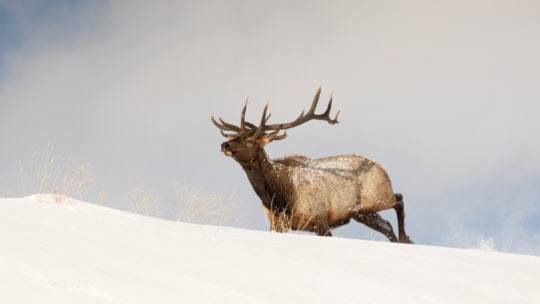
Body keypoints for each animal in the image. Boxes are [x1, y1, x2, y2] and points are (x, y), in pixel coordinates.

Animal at [211, 86, 414, 243]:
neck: (279, 198)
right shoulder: (276, 224)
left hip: (377, 196)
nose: (224, 144)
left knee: (399, 198)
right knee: (387, 226)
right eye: (234, 136)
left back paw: (406, 238)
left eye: (251, 140)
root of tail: (382, 168)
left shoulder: (320, 218)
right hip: (363, 212)